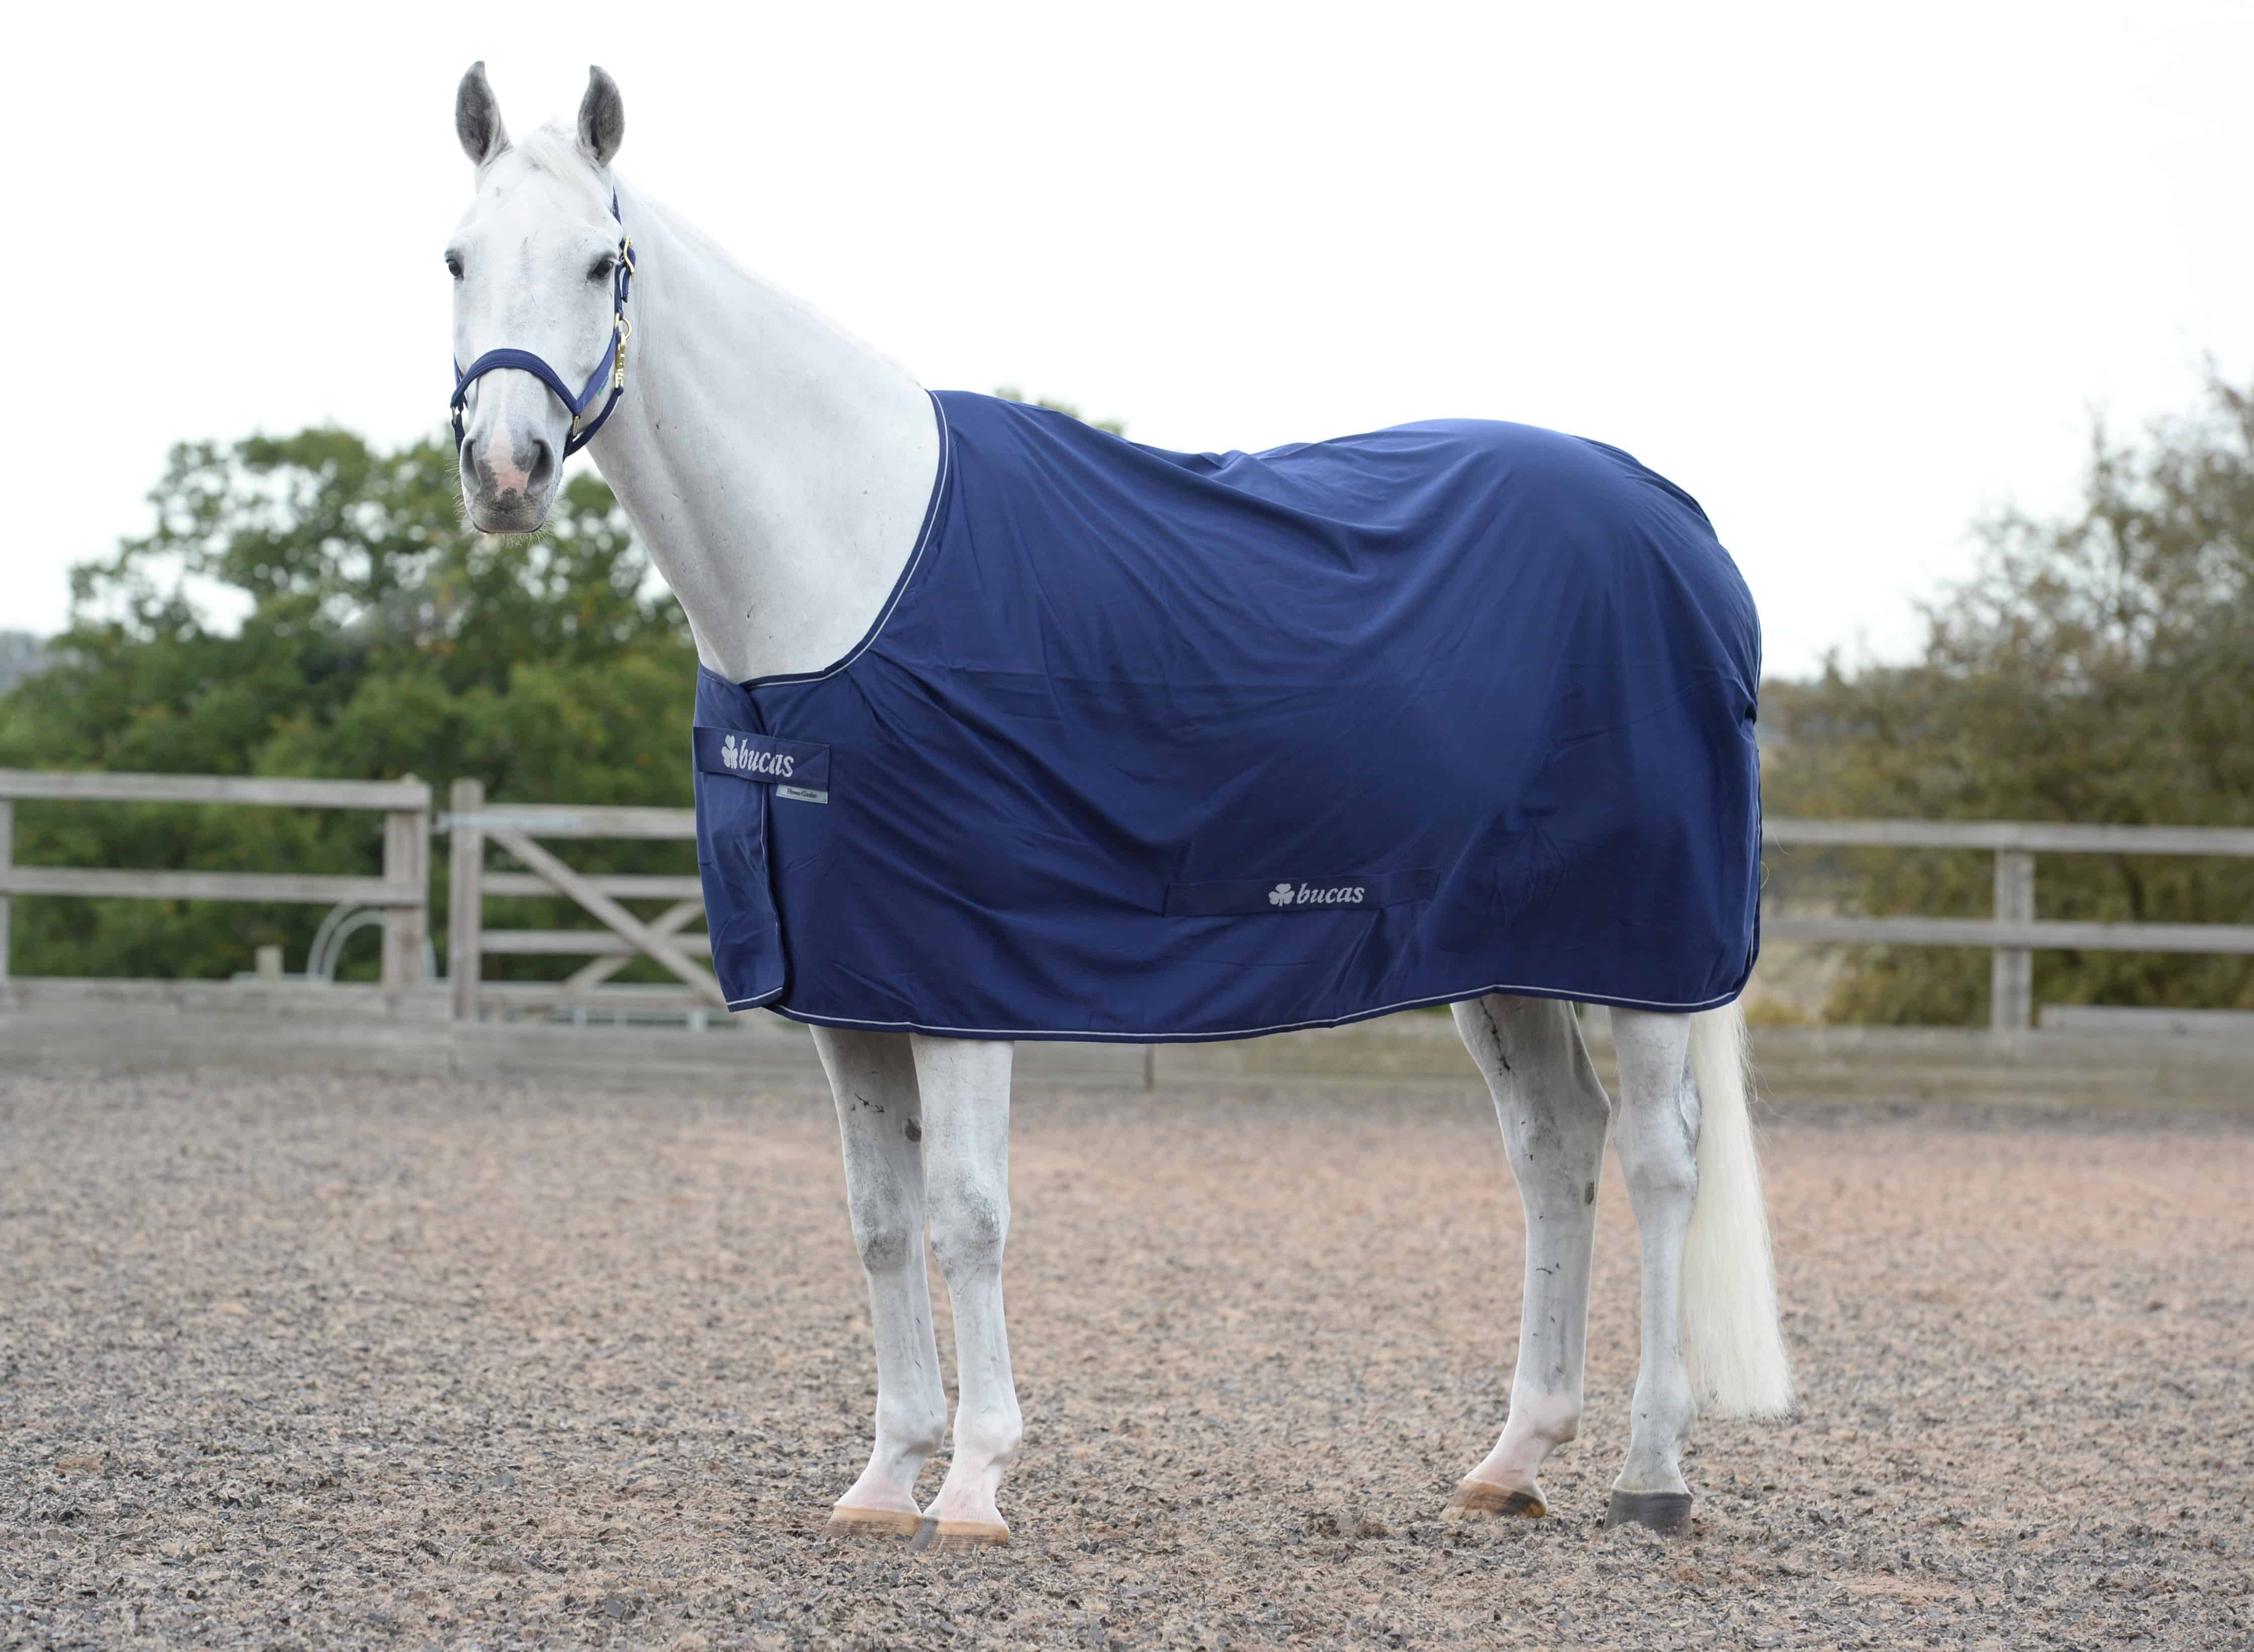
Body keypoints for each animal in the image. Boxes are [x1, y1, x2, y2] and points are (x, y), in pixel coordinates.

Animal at [440, 62, 1792, 1551]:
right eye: (455, 258)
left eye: (603, 260)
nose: (507, 474)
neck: (841, 566)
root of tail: (1683, 529)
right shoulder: (848, 990)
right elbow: (878, 1219)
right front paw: (884, 1478)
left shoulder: (960, 976)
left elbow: (967, 1214)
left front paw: (974, 1484)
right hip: (1504, 957)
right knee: (1556, 1148)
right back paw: (1511, 1460)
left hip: (1648, 956)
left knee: (1662, 1163)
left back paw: (1650, 1471)